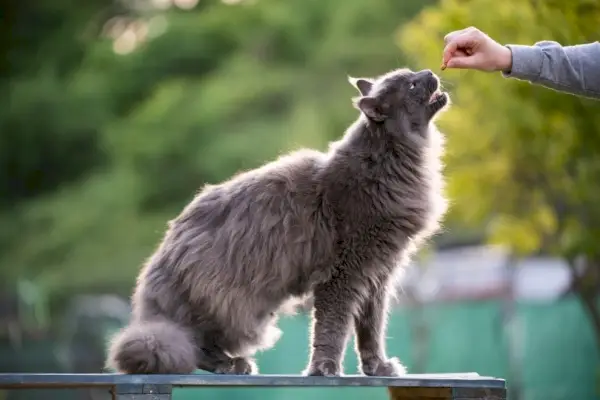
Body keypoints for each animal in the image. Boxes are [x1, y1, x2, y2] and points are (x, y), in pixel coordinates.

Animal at [105, 67, 448, 376]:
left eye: (414, 74)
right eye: (412, 84)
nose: (431, 72)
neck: (390, 161)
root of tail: (160, 262)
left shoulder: (378, 275)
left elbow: (371, 331)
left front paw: (378, 368)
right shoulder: (344, 273)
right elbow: (332, 327)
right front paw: (324, 369)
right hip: (231, 304)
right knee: (195, 345)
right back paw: (232, 365)